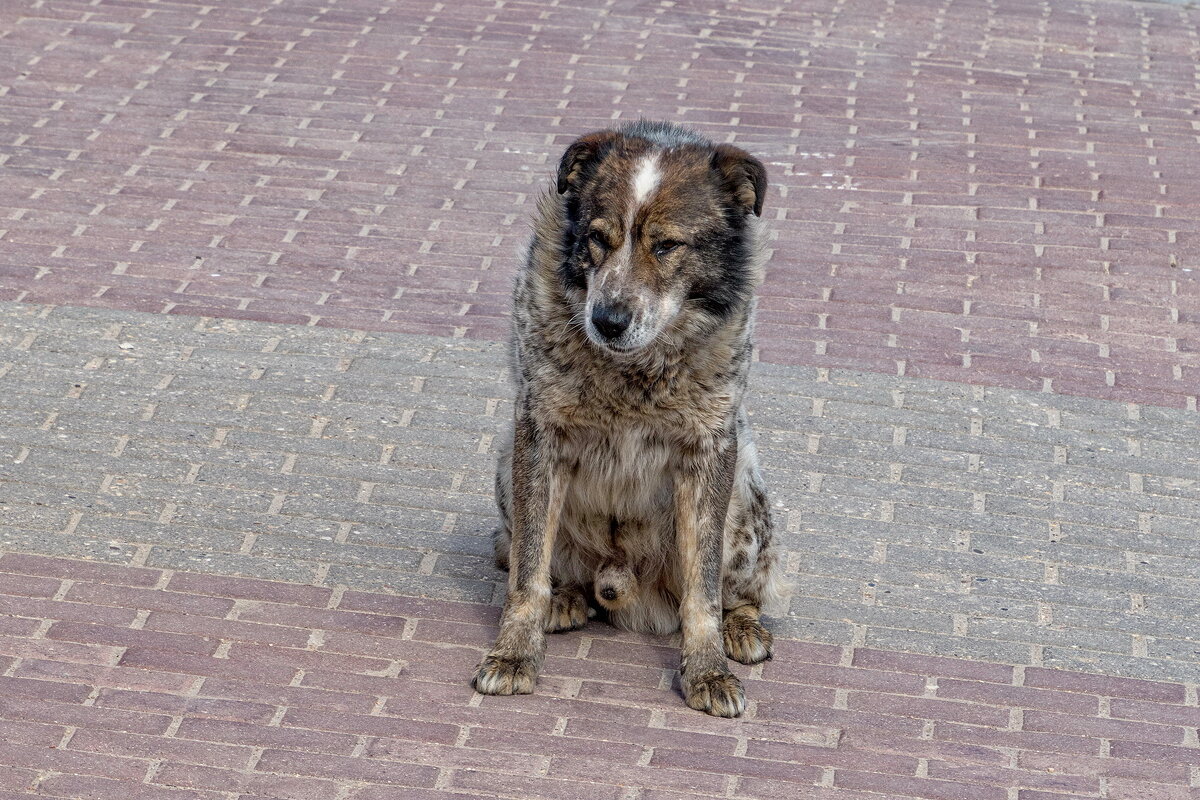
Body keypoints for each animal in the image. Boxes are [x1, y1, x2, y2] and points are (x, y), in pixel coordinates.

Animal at [472, 120, 782, 719]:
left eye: (666, 245)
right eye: (598, 238)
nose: (607, 320)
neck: (633, 372)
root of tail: (625, 588)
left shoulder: (712, 448)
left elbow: (703, 591)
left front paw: (707, 669)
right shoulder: (537, 434)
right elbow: (527, 572)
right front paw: (515, 654)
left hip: (745, 494)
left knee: (740, 589)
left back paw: (742, 628)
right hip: (505, 464)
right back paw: (566, 597)